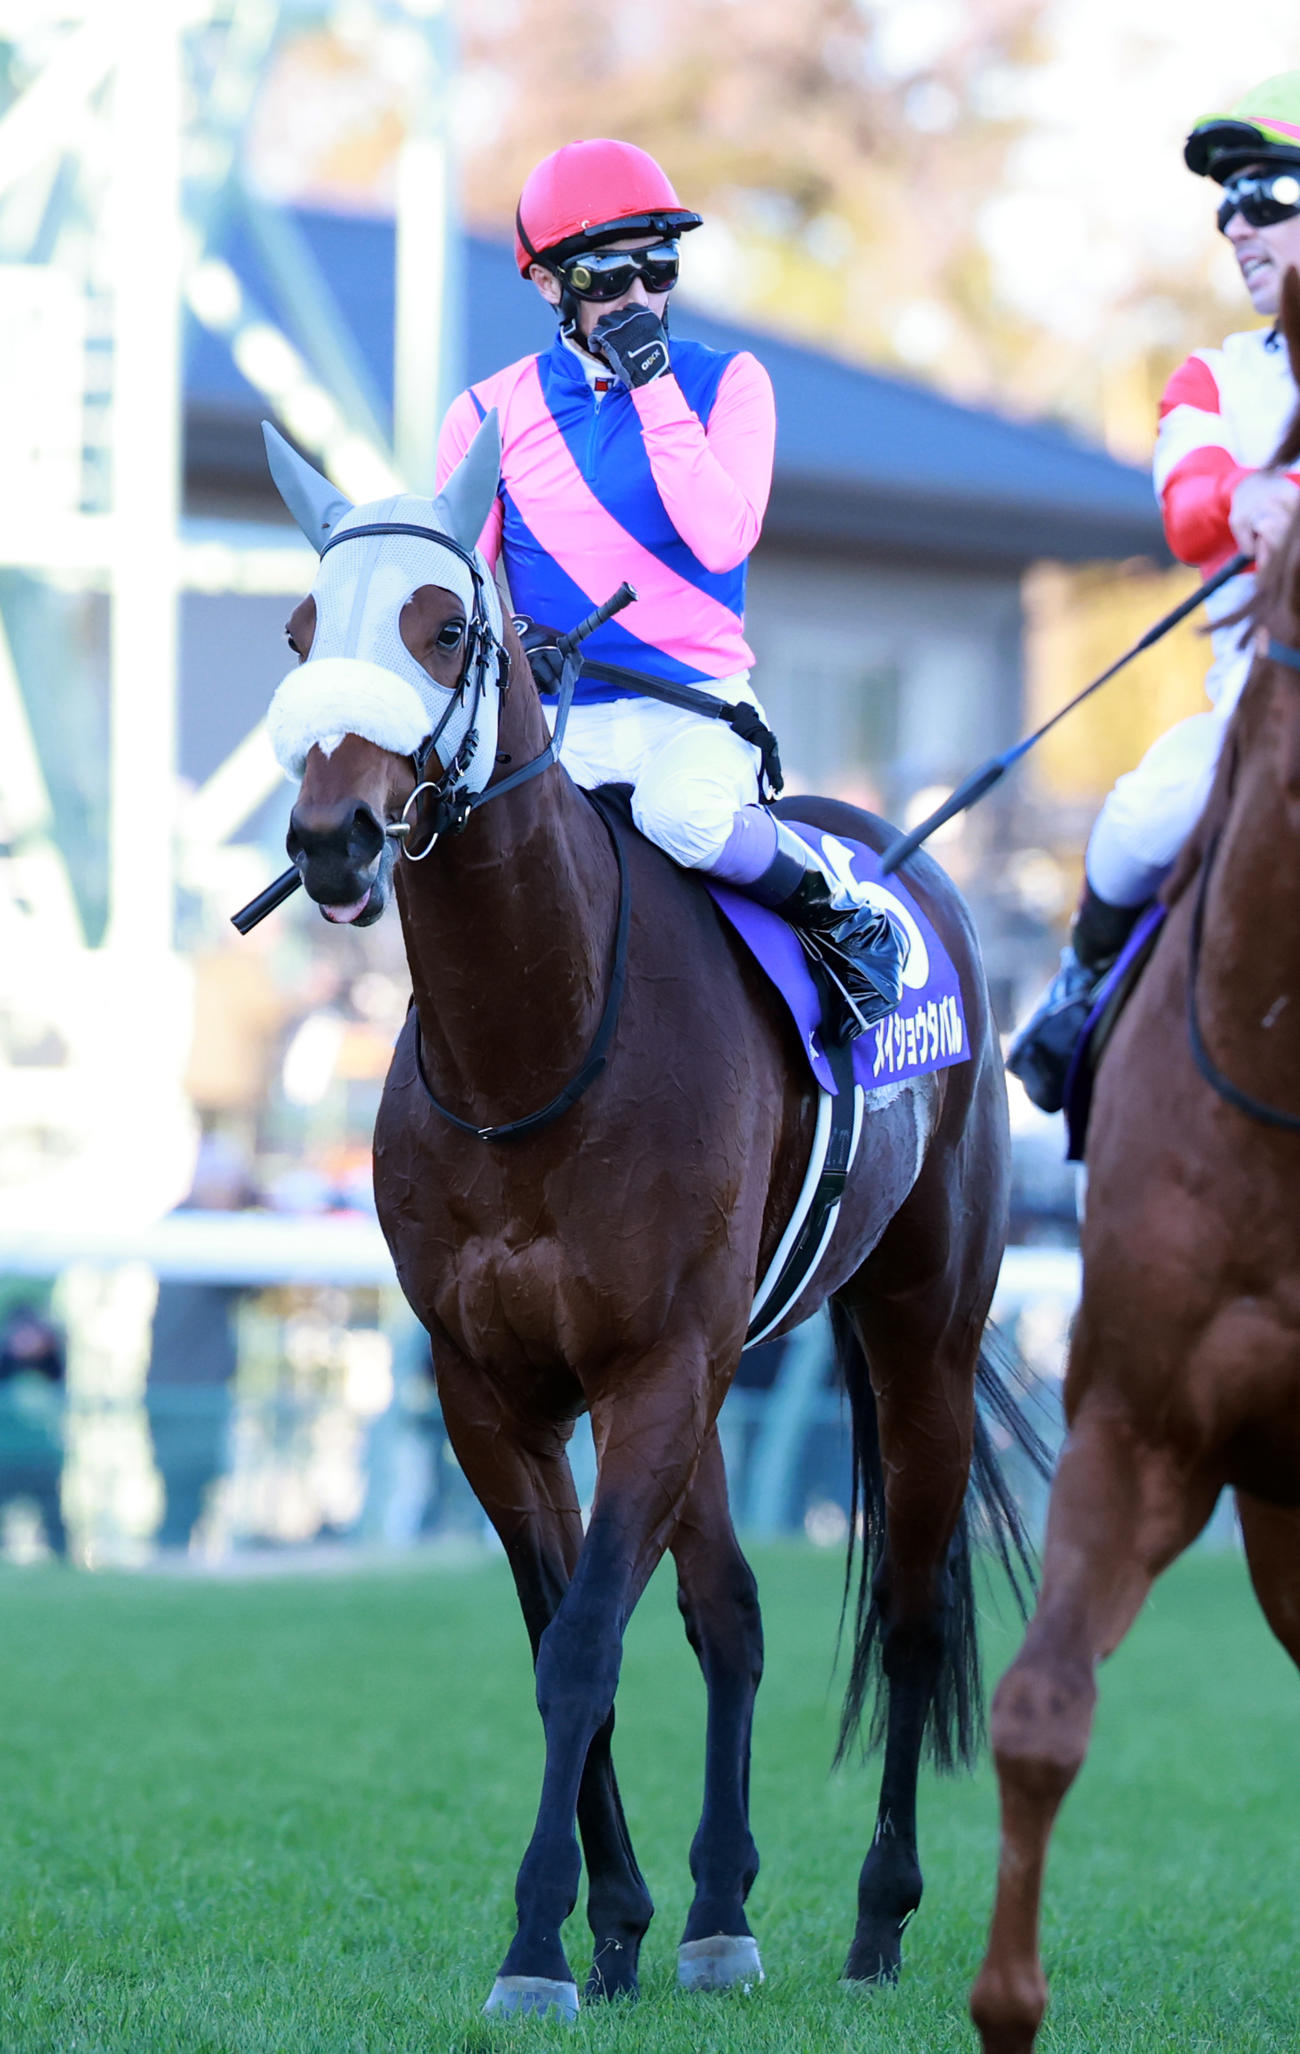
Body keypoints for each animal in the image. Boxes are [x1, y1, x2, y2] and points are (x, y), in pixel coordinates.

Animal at [255, 410, 1042, 2020]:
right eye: (301, 628)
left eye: (443, 628)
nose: (335, 840)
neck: (533, 1046)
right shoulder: (494, 1387)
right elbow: (575, 1635)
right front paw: (611, 1923)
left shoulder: (651, 1366)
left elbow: (582, 1649)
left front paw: (535, 1941)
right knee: (731, 1608)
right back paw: (718, 1912)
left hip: (916, 1327)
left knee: (913, 1612)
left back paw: (878, 1917)